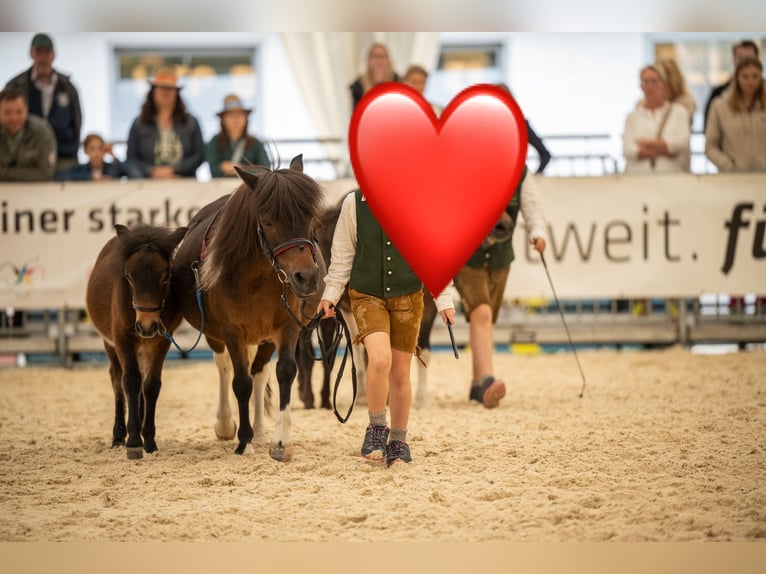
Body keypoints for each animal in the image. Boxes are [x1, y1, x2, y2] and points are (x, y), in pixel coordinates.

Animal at [86, 224, 187, 459]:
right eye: (129, 276)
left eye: (166, 276)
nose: (146, 326)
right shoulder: (122, 338)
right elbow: (130, 381)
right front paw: (133, 441)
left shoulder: (161, 341)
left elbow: (151, 386)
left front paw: (148, 439)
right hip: (111, 344)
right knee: (117, 378)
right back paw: (118, 436)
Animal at [171, 155, 324, 461]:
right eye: (267, 221)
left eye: (310, 218)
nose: (306, 277)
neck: (259, 276)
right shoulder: (232, 332)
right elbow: (239, 383)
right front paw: (244, 441)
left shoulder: (286, 327)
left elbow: (284, 372)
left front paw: (280, 441)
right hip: (215, 334)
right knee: (223, 366)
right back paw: (225, 424)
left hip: (265, 338)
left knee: (260, 373)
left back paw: (260, 430)